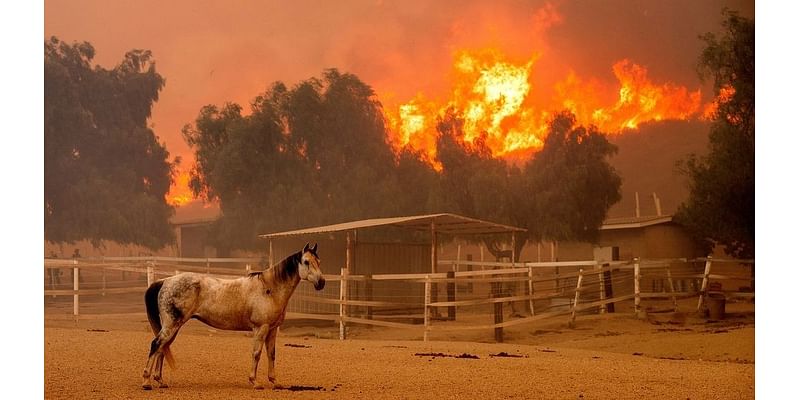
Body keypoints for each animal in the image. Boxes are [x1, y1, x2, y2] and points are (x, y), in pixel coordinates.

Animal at [141, 242, 324, 390]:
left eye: (319, 262)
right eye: (306, 262)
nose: (321, 282)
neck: (269, 289)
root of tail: (165, 281)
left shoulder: (272, 330)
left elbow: (271, 354)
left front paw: (275, 382)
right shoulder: (261, 328)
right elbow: (256, 353)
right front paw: (255, 382)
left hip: (173, 327)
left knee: (162, 348)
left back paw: (160, 381)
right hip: (172, 325)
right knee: (156, 345)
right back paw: (146, 382)